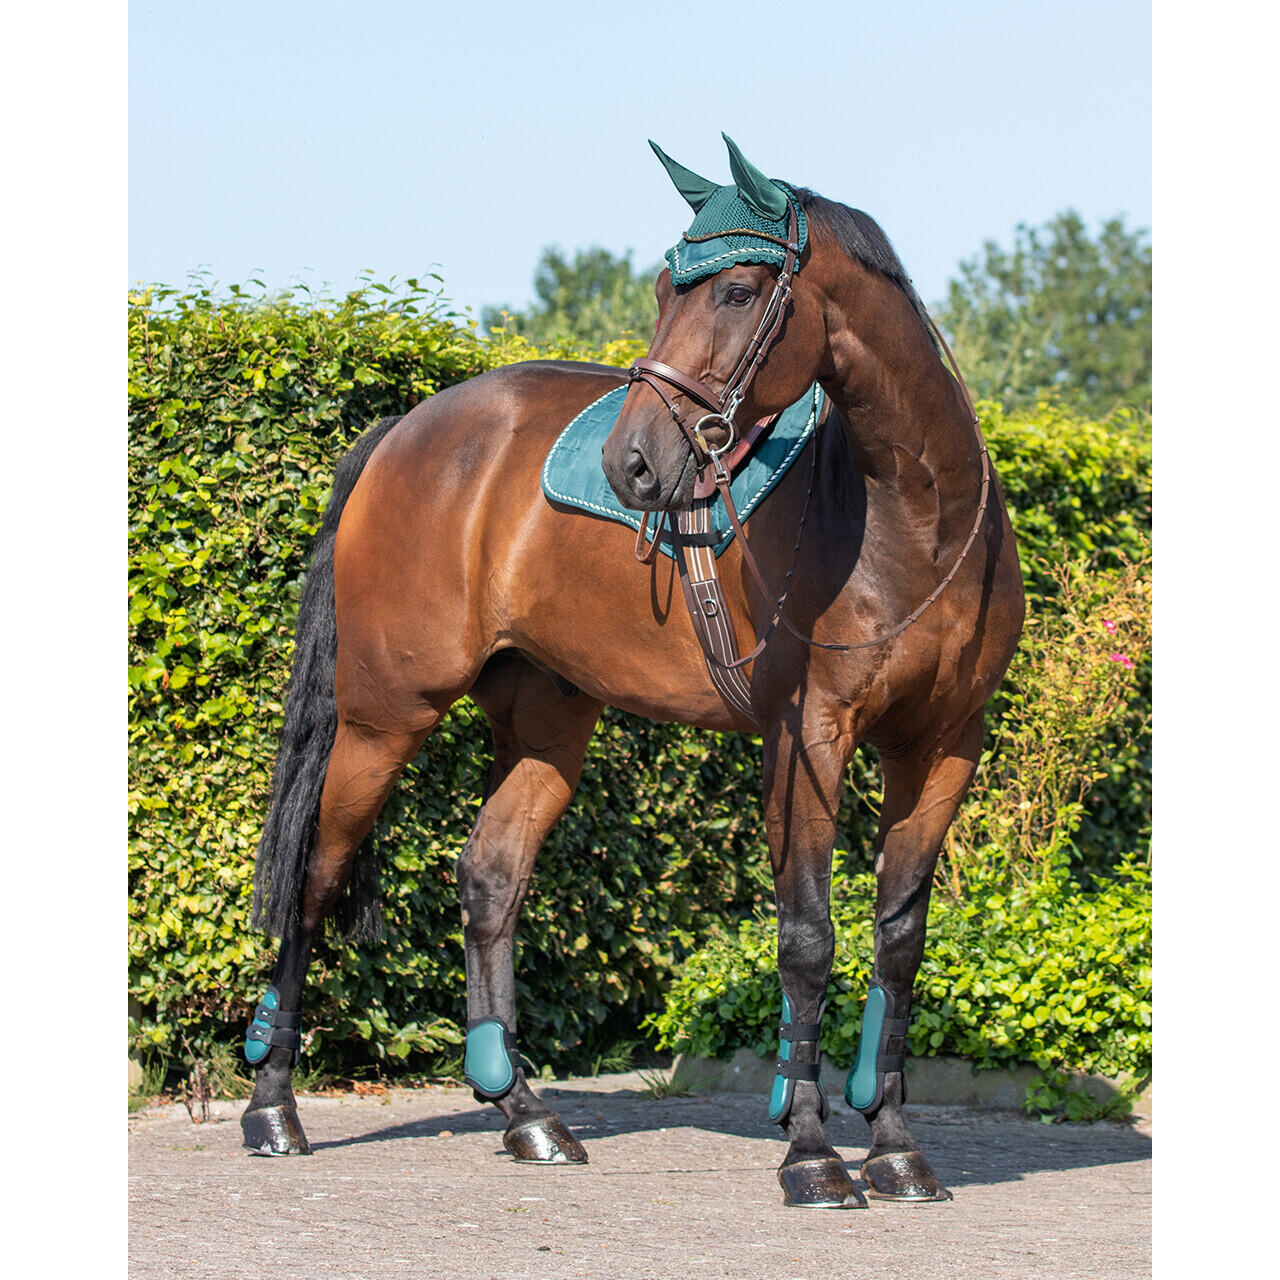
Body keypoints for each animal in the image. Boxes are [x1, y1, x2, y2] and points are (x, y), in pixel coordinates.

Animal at [241, 135, 1025, 1210]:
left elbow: (898, 942)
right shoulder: (807, 739)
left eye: (736, 289)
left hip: (544, 720)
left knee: (490, 876)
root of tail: (404, 432)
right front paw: (813, 1155)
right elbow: (808, 938)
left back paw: (527, 1116)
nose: (635, 465)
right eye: (662, 287)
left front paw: (898, 1148)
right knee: (313, 878)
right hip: (382, 718)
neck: (912, 519)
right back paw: (273, 1107)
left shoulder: (944, 746)